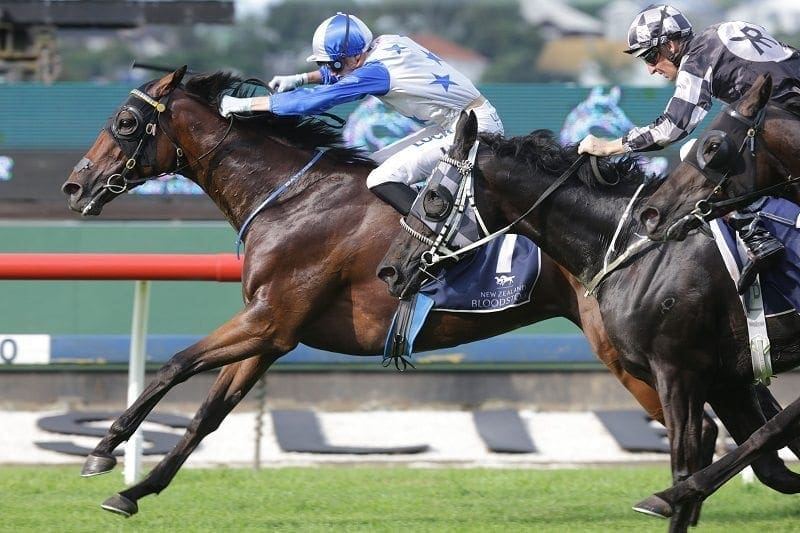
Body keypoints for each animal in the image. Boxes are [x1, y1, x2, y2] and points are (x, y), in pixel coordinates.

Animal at [59, 66, 680, 516]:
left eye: (124, 122)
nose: (74, 185)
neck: (291, 197)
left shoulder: (269, 319)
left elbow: (175, 365)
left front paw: (103, 450)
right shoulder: (271, 334)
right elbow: (207, 414)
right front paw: (134, 492)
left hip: (629, 356)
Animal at [376, 110, 800, 528]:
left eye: (434, 197)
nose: (389, 270)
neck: (632, 243)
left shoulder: (679, 371)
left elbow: (689, 465)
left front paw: (667, 499)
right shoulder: (727, 381)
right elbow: (765, 462)